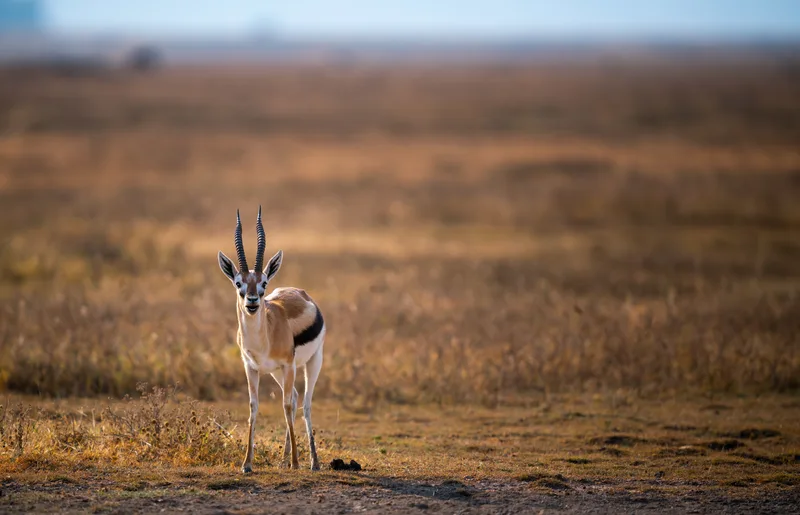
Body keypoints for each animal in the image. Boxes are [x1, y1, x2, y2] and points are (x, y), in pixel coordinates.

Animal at [217, 207, 325, 472]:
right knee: (295, 398)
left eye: (263, 283)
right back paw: (284, 460)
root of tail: (301, 292)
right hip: (277, 372)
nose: (252, 301)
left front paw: (297, 463)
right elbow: (253, 407)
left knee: (305, 403)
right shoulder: (251, 368)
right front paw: (247, 464)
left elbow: (286, 406)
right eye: (239, 283)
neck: (263, 339)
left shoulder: (288, 365)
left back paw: (313, 462)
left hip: (311, 363)